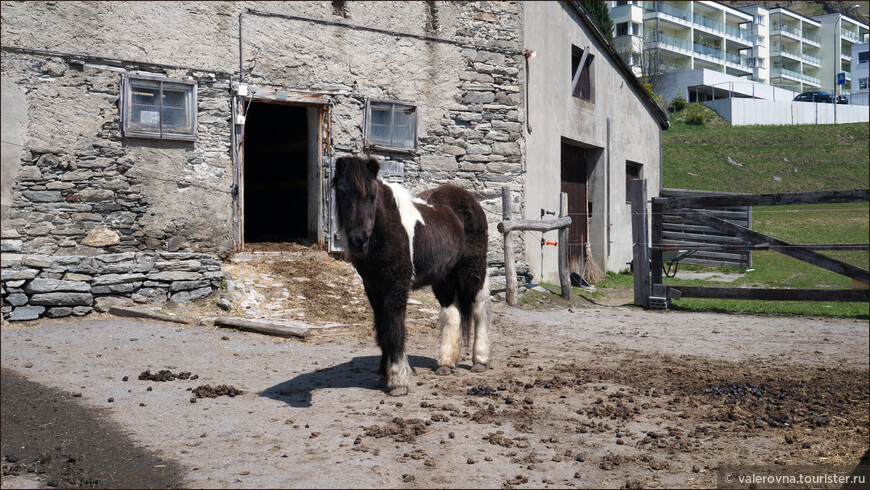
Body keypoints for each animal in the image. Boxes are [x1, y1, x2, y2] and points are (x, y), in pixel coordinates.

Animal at [334, 157, 494, 398]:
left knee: (480, 308)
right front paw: (384, 374)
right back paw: (446, 364)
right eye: (342, 192)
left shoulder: (397, 286)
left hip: (472, 271)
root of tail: (471, 201)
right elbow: (382, 328)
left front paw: (398, 380)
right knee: (452, 314)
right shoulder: (373, 288)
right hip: (444, 278)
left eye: (372, 194)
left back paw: (480, 361)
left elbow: (394, 328)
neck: (386, 231)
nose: (358, 240)